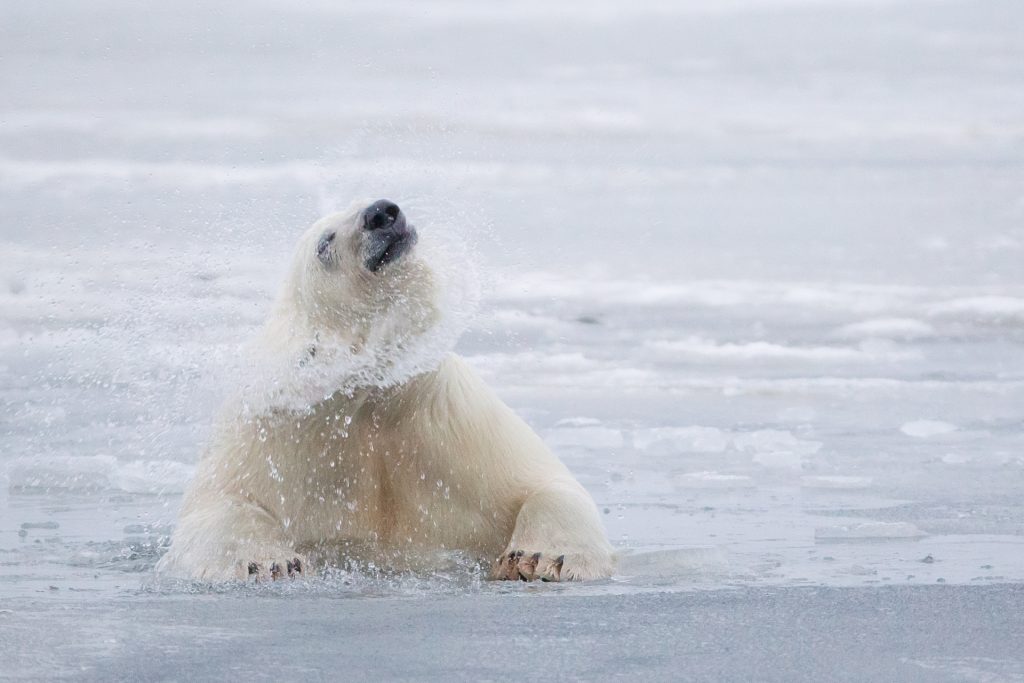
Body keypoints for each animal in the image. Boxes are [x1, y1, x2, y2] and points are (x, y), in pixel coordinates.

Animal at [155, 197, 610, 581]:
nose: (382, 212)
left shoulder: (456, 426)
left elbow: (549, 485)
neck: (370, 397)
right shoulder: (277, 430)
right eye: (325, 243)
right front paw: (270, 562)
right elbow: (216, 507)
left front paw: (540, 558)